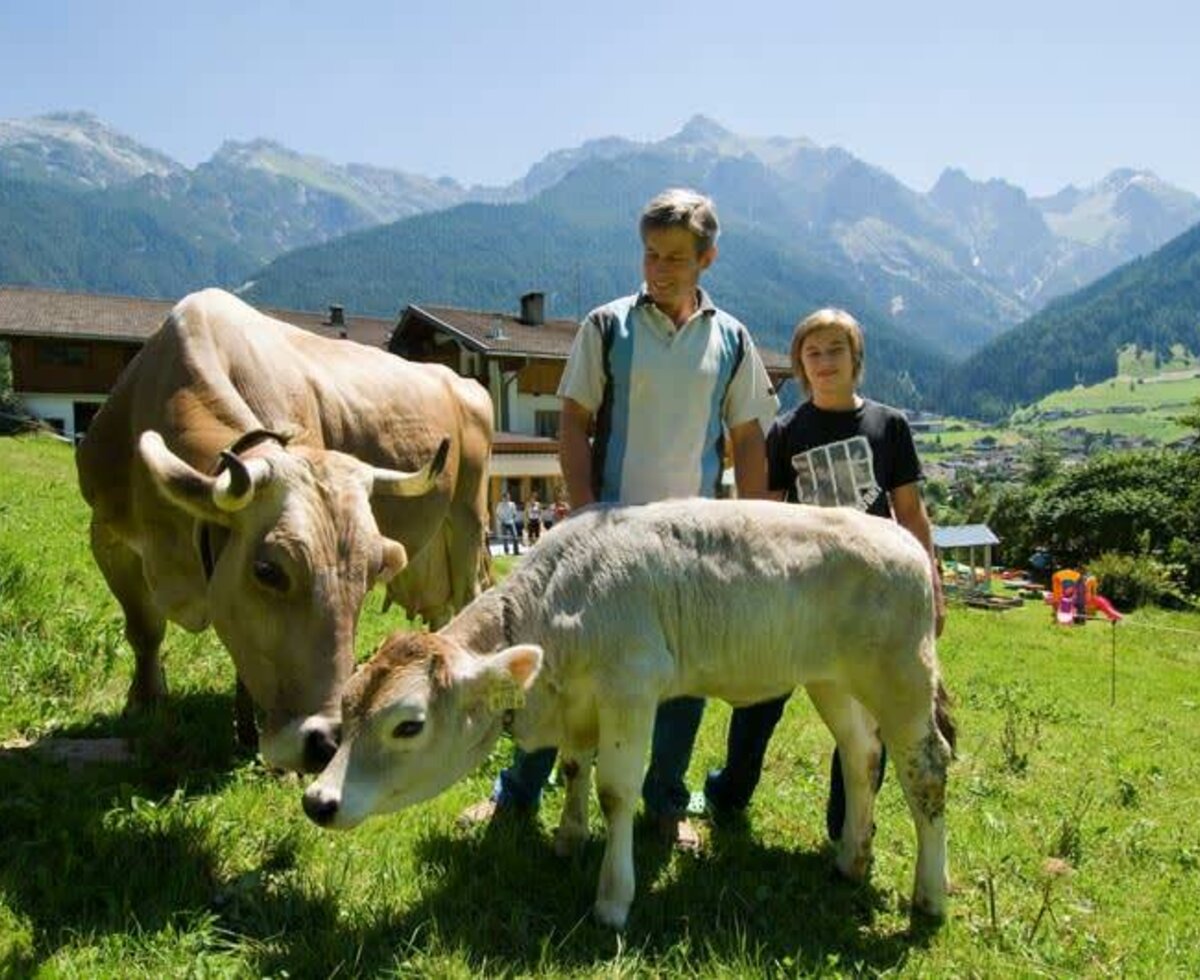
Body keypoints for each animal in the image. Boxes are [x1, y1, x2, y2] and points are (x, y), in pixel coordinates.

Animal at [78, 289, 492, 772]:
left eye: (372, 572)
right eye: (267, 571)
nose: (326, 741)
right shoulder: (109, 537)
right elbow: (143, 629)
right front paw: (144, 701)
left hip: (468, 513)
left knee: (470, 593)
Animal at [302, 501, 955, 930]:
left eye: (408, 724)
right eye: (348, 706)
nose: (317, 801)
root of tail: (901, 536)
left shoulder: (631, 690)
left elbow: (616, 791)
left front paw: (613, 899)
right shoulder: (579, 702)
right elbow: (572, 768)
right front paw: (567, 838)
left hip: (901, 674)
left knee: (924, 770)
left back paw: (929, 896)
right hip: (832, 679)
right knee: (862, 754)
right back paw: (851, 858)